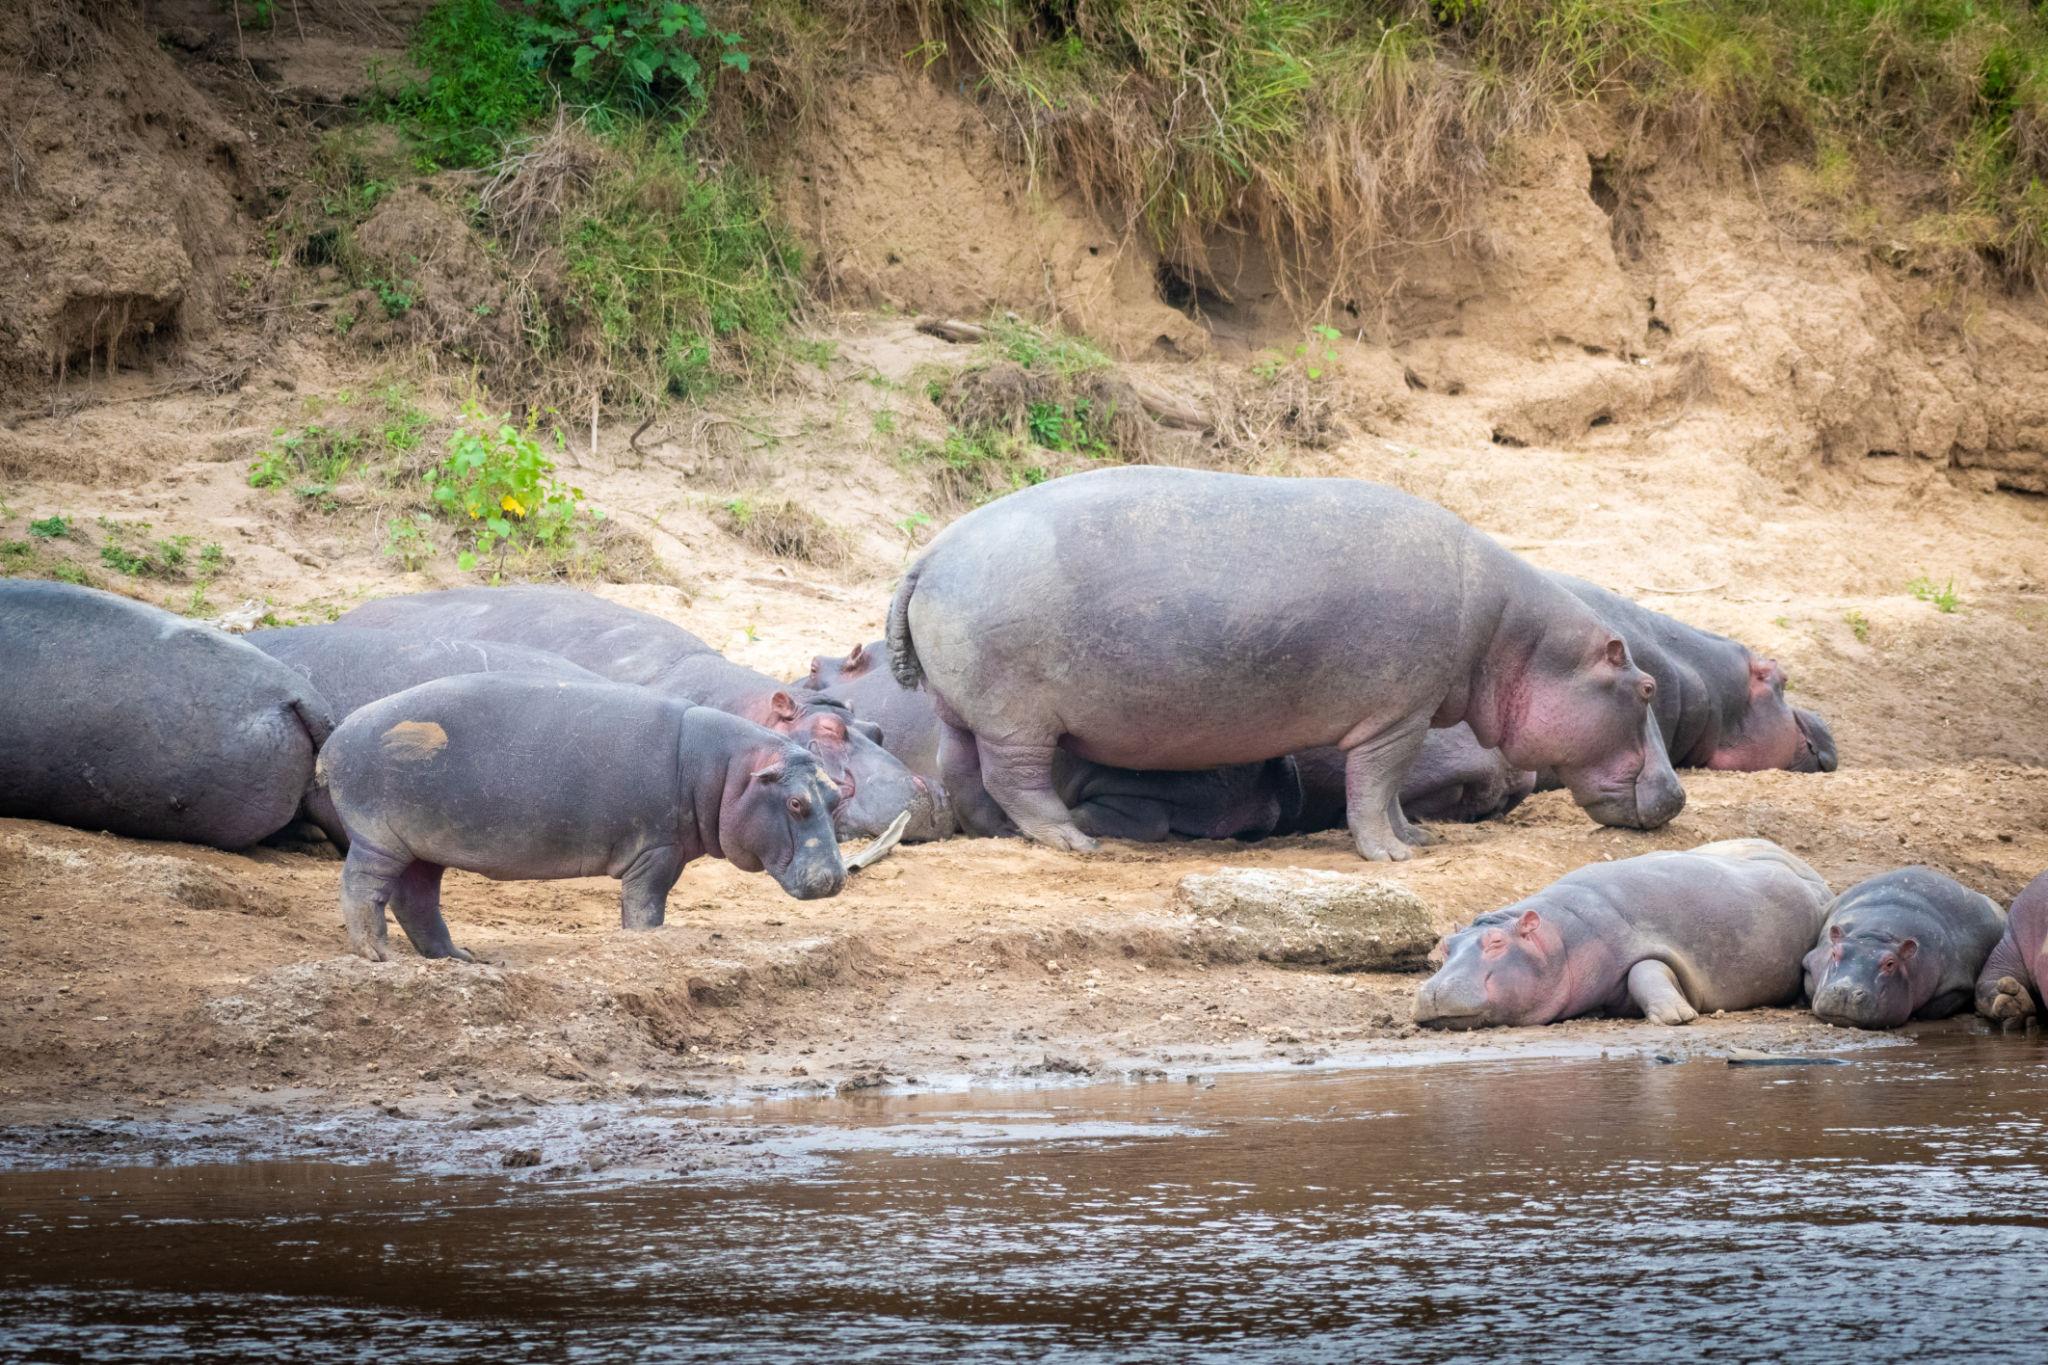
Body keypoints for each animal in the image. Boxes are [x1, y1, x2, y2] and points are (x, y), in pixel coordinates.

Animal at [318, 674, 846, 962]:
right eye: (796, 803)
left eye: (835, 796)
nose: (837, 878)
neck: (730, 770)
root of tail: (338, 733)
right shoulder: (657, 851)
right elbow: (645, 906)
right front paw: (646, 940)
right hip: (379, 838)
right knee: (362, 889)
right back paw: (377, 954)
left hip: (423, 845)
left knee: (417, 900)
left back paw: (461, 957)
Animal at [886, 467, 1685, 860]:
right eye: (1646, 686)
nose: (1678, 796)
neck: (1514, 636)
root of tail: (931, 550)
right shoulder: (1398, 715)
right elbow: (1374, 788)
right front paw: (1392, 857)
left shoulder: (1408, 715)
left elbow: (1389, 795)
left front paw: (1417, 840)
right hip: (1017, 718)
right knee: (1016, 778)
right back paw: (1075, 842)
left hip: (960, 707)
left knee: (966, 774)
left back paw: (1003, 834)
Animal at [1414, 839, 1832, 1028]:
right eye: (1446, 945)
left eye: (1497, 942)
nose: (1433, 990)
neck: (1557, 940)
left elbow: (1645, 970)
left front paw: (1676, 1017)